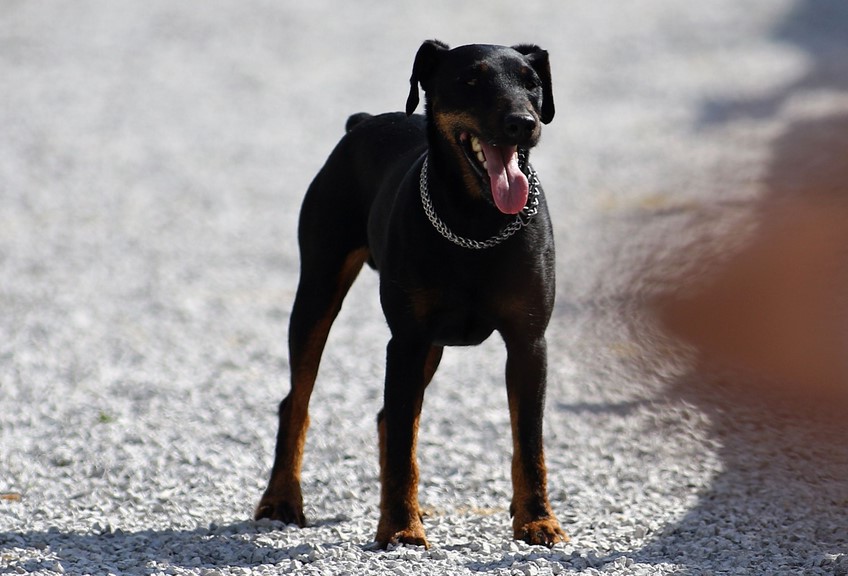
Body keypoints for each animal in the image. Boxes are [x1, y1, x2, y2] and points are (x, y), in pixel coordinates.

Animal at [255, 39, 568, 548]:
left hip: (431, 347)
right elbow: (404, 439)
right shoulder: (405, 340)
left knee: (387, 415)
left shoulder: (529, 342)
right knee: (297, 401)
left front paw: (538, 521)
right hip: (318, 292)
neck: (475, 222)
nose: (523, 122)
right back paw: (281, 500)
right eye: (471, 80)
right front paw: (401, 530)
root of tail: (360, 123)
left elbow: (529, 440)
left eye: (533, 82)